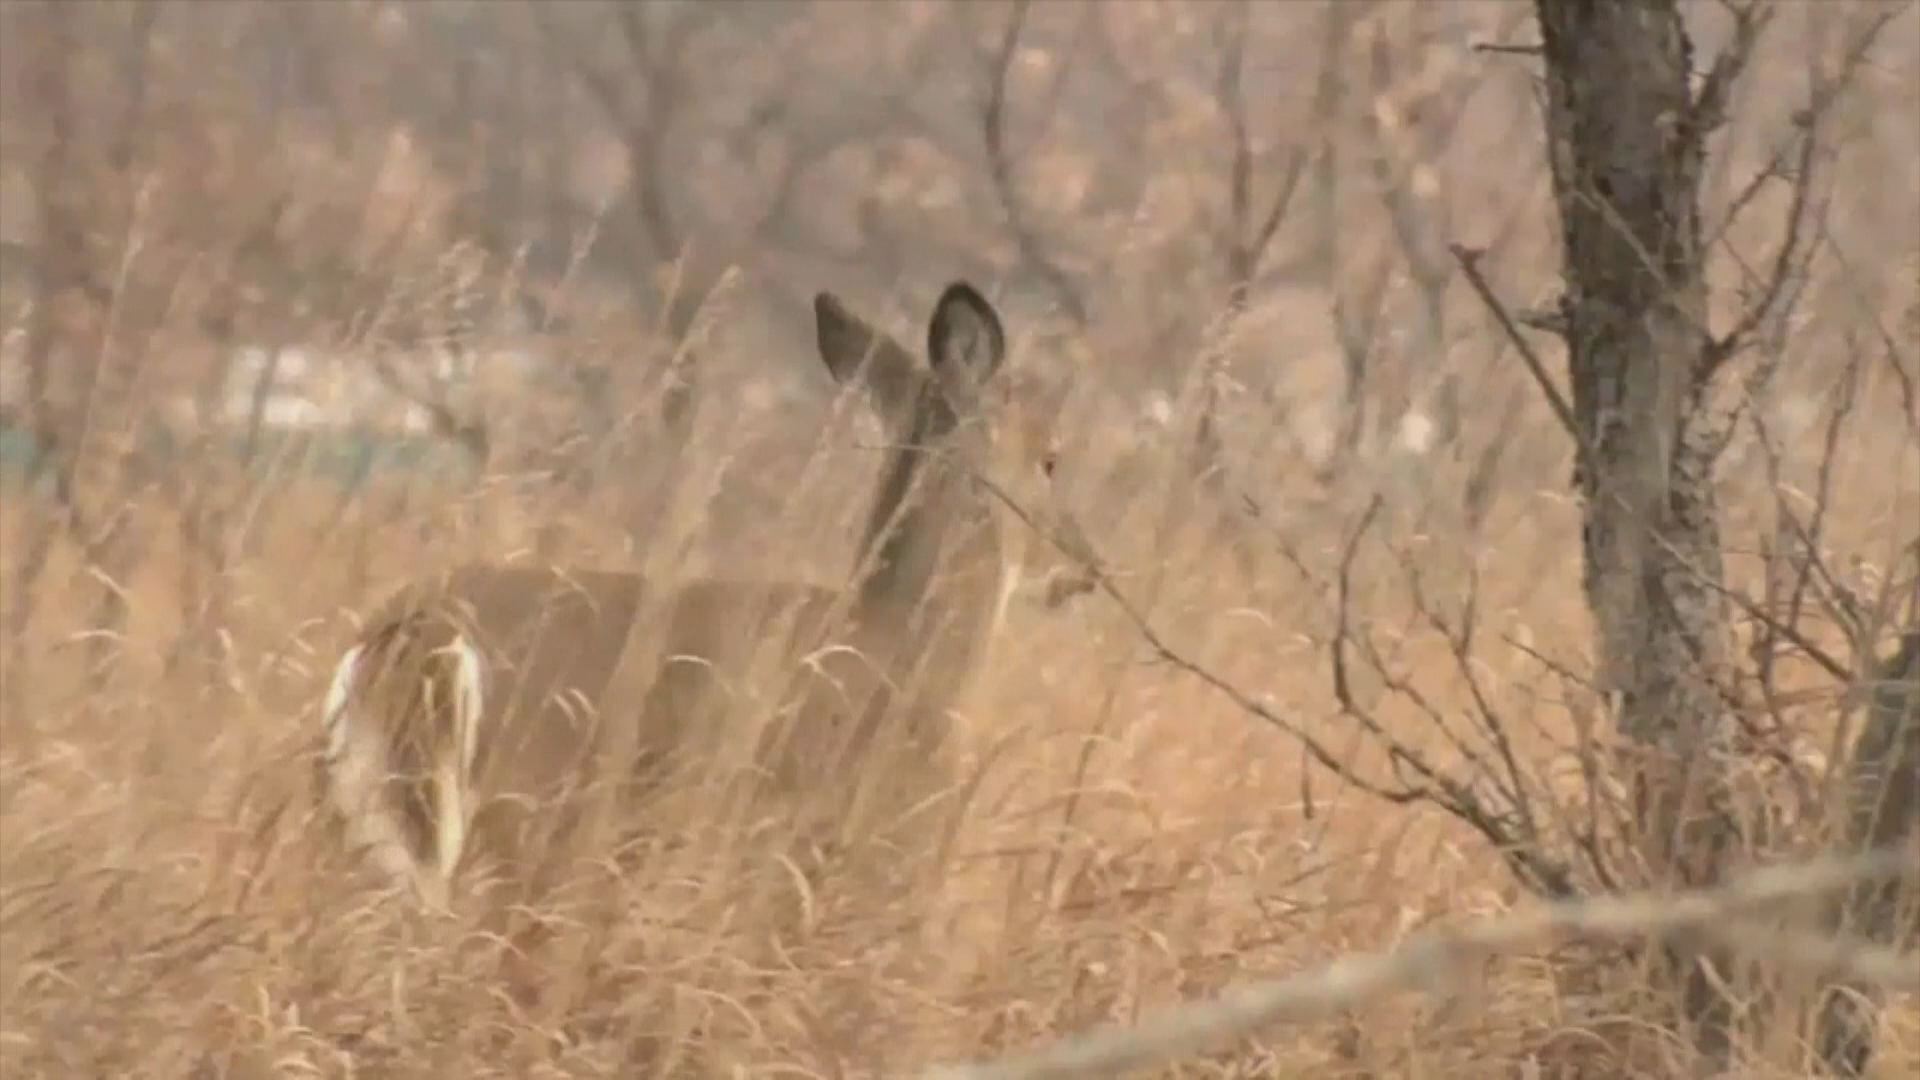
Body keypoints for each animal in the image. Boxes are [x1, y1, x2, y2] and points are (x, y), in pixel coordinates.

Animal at [313, 282, 1090, 925]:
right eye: (1051, 456)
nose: (1083, 566)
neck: (911, 637)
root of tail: (418, 638)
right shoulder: (866, 853)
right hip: (519, 832)